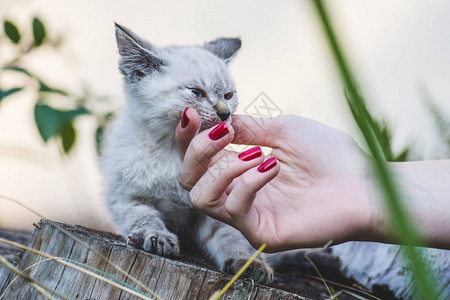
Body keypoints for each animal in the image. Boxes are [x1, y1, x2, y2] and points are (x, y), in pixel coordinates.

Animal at [100, 24, 272, 284]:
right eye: (196, 92)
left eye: (228, 95)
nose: (224, 114)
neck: (175, 150)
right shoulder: (126, 198)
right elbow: (144, 216)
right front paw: (156, 237)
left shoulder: (213, 210)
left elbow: (231, 236)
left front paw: (248, 262)